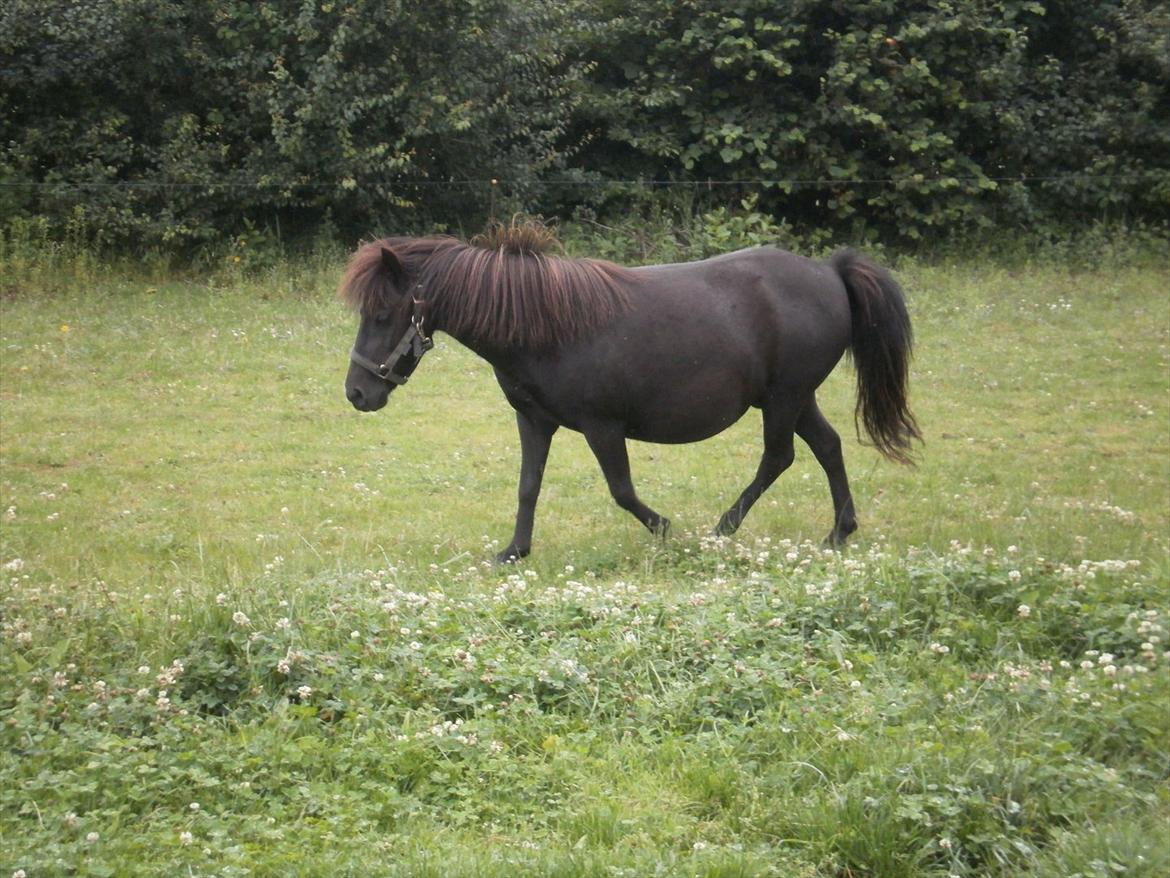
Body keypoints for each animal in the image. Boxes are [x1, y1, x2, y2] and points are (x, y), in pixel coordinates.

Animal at [341, 223, 921, 559]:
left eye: (383, 313)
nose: (357, 394)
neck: (543, 325)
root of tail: (829, 271)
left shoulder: (603, 426)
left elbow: (621, 490)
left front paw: (665, 529)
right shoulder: (534, 420)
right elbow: (528, 486)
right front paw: (514, 551)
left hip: (784, 398)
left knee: (778, 458)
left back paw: (721, 530)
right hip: (794, 399)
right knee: (828, 447)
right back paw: (838, 533)